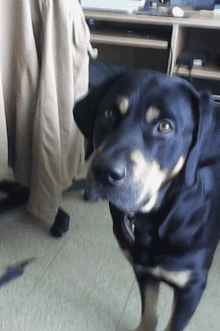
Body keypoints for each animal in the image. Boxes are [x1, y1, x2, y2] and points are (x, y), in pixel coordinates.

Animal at [73, 73, 220, 331]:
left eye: (165, 126)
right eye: (107, 114)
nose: (105, 171)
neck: (158, 216)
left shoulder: (191, 287)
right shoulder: (143, 269)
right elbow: (149, 313)